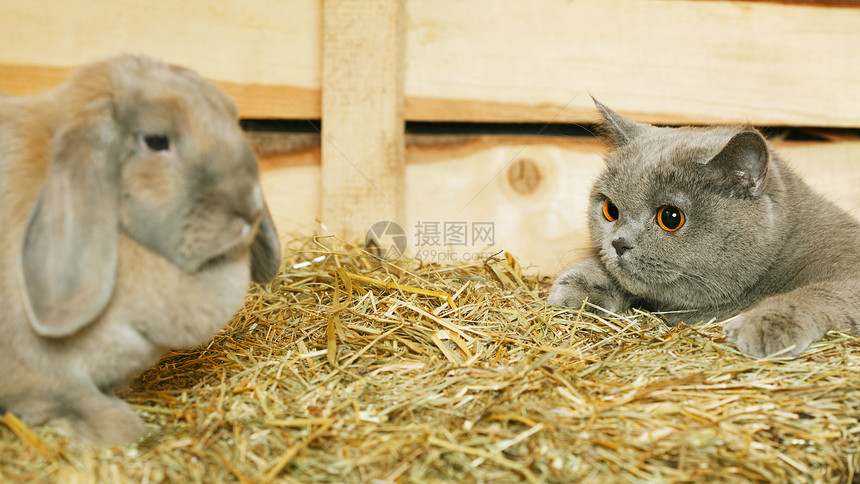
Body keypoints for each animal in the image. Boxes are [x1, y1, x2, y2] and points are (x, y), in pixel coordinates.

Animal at [552, 99, 860, 356]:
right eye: (611, 210)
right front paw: (580, 286)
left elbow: (816, 293)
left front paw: (766, 323)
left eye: (671, 218)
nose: (618, 243)